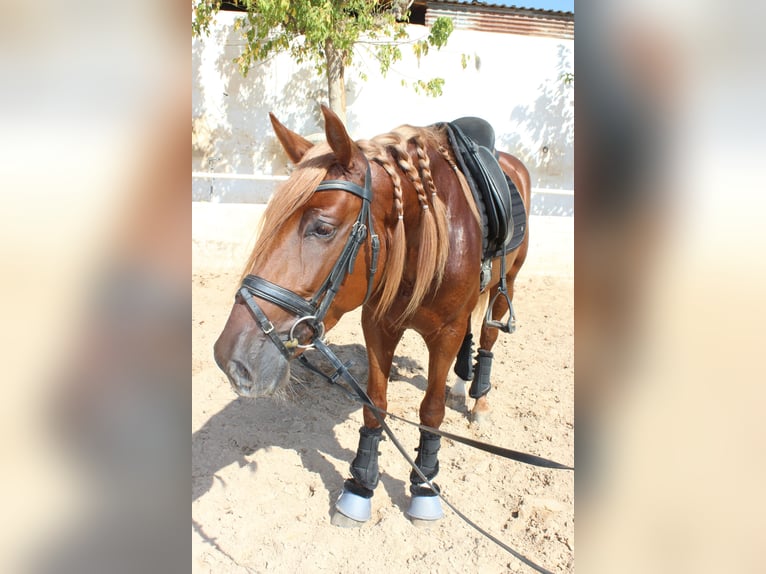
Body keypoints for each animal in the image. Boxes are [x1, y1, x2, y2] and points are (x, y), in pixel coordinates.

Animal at [213, 104, 530, 525]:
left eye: (323, 228)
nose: (231, 359)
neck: (422, 244)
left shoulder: (444, 333)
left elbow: (431, 411)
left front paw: (424, 487)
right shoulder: (378, 325)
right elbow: (374, 405)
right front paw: (360, 486)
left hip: (504, 284)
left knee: (488, 337)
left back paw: (478, 400)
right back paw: (462, 386)